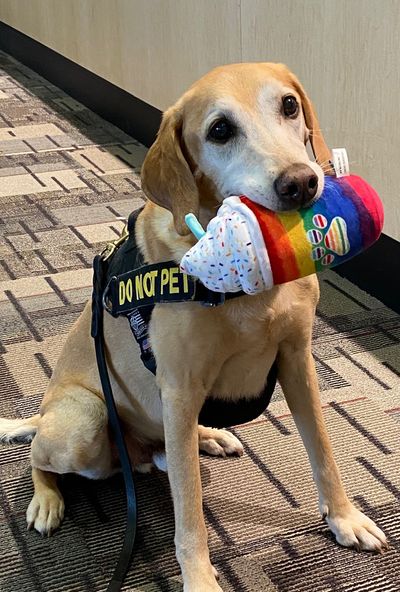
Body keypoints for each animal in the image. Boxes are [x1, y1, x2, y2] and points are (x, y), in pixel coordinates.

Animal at [0, 62, 388, 588]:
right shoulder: (180, 388)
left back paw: (208, 437)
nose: (302, 183)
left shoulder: (297, 359)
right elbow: (190, 512)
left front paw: (345, 518)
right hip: (84, 422)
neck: (249, 285)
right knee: (40, 458)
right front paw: (201, 578)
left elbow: (323, 452)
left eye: (289, 105)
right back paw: (46, 498)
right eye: (219, 130)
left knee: (166, 451)